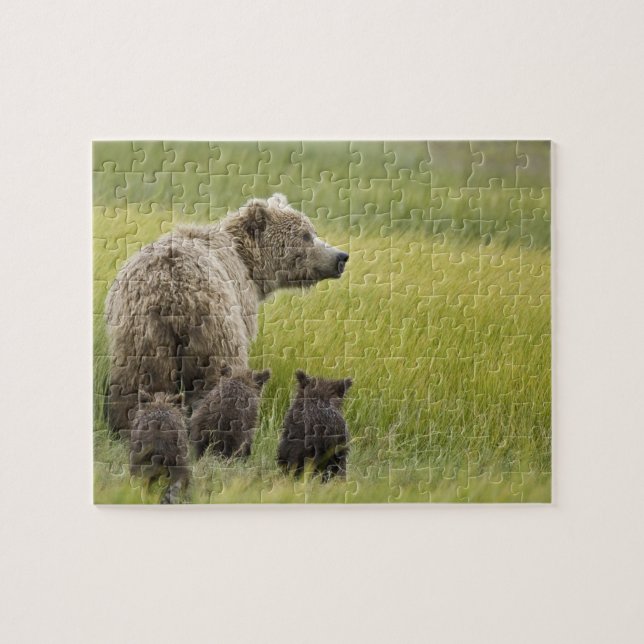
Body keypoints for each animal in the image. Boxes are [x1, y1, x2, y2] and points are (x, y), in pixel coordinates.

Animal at [105, 193, 349, 435]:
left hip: (141, 335)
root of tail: (170, 292)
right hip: (215, 329)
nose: (341, 256)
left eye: (312, 231)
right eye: (305, 235)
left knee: (137, 382)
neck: (249, 264)